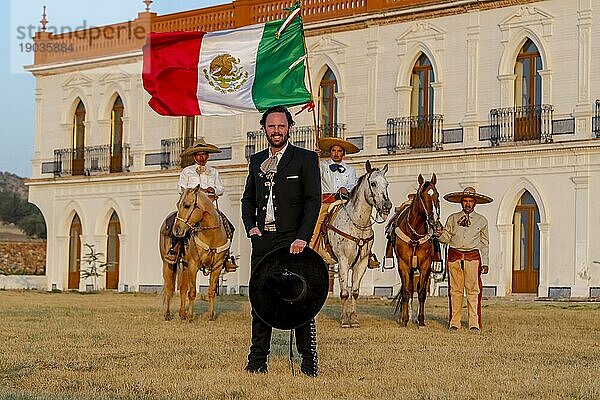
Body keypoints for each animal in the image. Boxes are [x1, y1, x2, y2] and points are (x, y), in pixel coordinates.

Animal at [158, 186, 231, 320]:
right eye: (178, 205)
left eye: (187, 205)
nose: (177, 230)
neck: (211, 236)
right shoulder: (193, 265)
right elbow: (192, 292)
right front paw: (191, 316)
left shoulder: (217, 267)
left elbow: (211, 291)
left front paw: (211, 316)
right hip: (168, 264)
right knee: (169, 288)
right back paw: (167, 314)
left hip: (185, 265)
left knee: (182, 288)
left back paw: (182, 314)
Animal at [318, 160, 394, 328]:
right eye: (373, 183)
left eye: (386, 184)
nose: (387, 206)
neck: (357, 223)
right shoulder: (343, 261)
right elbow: (344, 292)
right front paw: (345, 320)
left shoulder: (362, 262)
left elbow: (355, 291)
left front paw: (353, 318)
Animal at [386, 173, 438, 326]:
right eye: (422, 195)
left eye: (437, 195)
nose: (434, 221)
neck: (414, 233)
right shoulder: (403, 264)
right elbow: (406, 292)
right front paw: (404, 319)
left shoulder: (425, 265)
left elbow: (421, 292)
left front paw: (421, 320)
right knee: (407, 289)